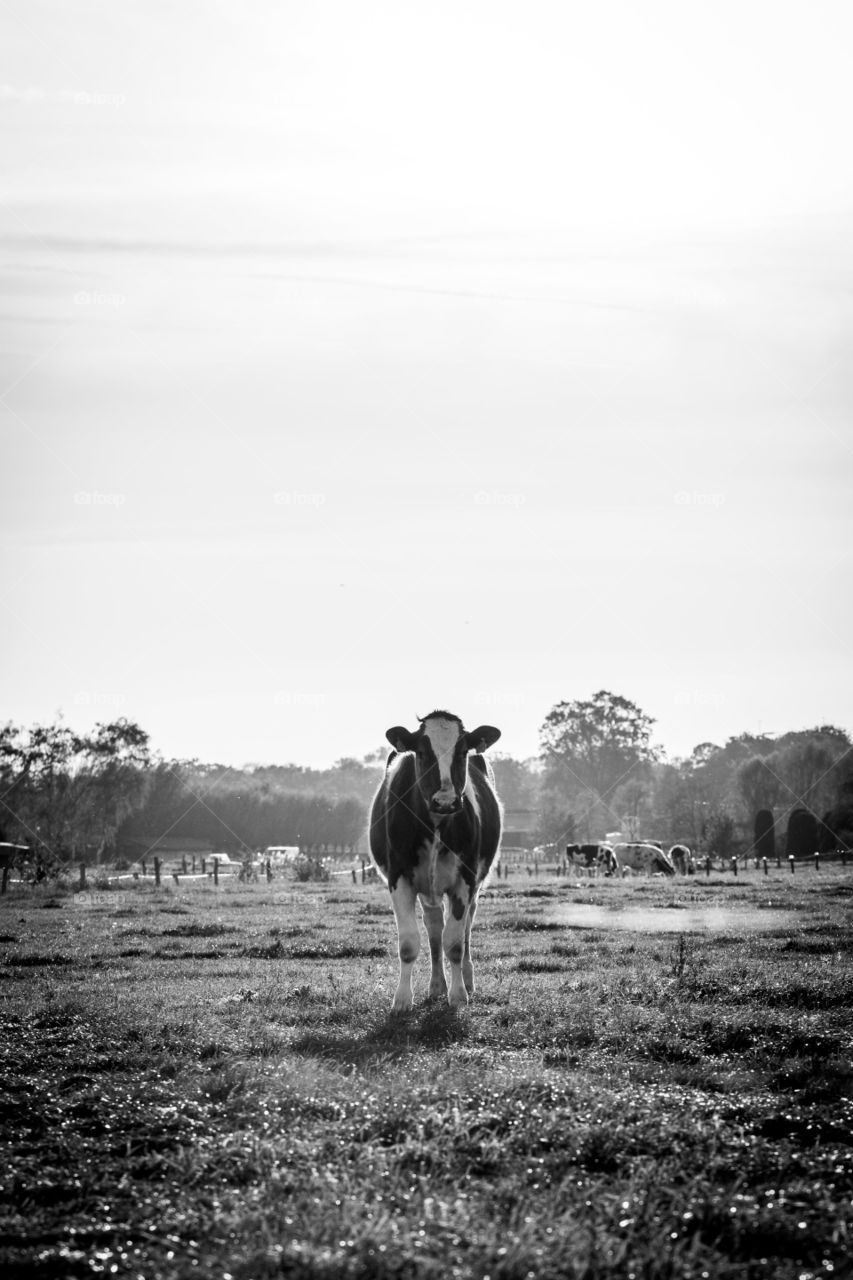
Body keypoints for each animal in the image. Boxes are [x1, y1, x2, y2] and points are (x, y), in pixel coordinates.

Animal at [368, 711, 502, 1008]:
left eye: (463, 752)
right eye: (421, 752)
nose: (445, 801)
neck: (436, 824)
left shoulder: (465, 879)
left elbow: (454, 943)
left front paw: (459, 994)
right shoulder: (399, 878)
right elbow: (409, 943)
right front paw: (402, 999)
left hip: (472, 884)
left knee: (464, 927)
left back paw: (466, 979)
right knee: (433, 928)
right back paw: (437, 985)